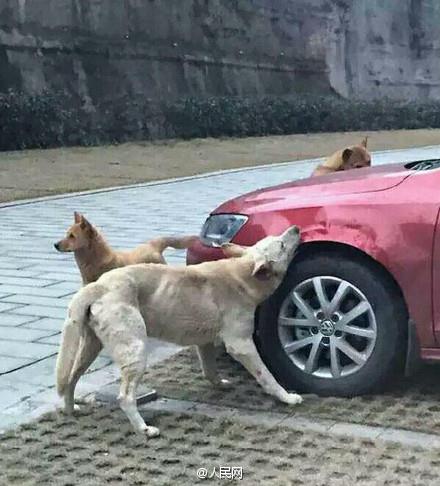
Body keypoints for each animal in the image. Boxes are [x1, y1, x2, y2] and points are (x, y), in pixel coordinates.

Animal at [55, 226, 302, 434]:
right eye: (281, 244)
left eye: (278, 237)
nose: (296, 228)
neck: (242, 273)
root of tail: (98, 285)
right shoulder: (241, 344)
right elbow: (266, 376)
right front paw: (287, 397)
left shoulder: (204, 342)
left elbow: (209, 370)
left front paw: (219, 383)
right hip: (135, 350)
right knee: (124, 397)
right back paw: (143, 428)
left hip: (89, 347)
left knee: (70, 379)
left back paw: (71, 410)